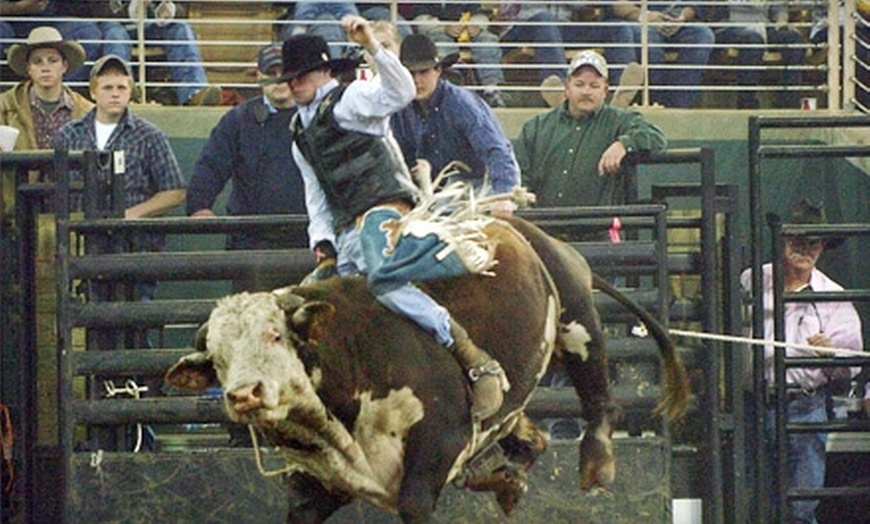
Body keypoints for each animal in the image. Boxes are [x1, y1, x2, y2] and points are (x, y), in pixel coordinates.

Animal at [167, 215, 692, 520]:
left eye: (276, 336)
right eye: (218, 358)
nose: (244, 394)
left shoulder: (435, 450)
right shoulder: (314, 487)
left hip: (576, 315)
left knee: (598, 393)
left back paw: (596, 458)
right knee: (530, 436)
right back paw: (504, 479)